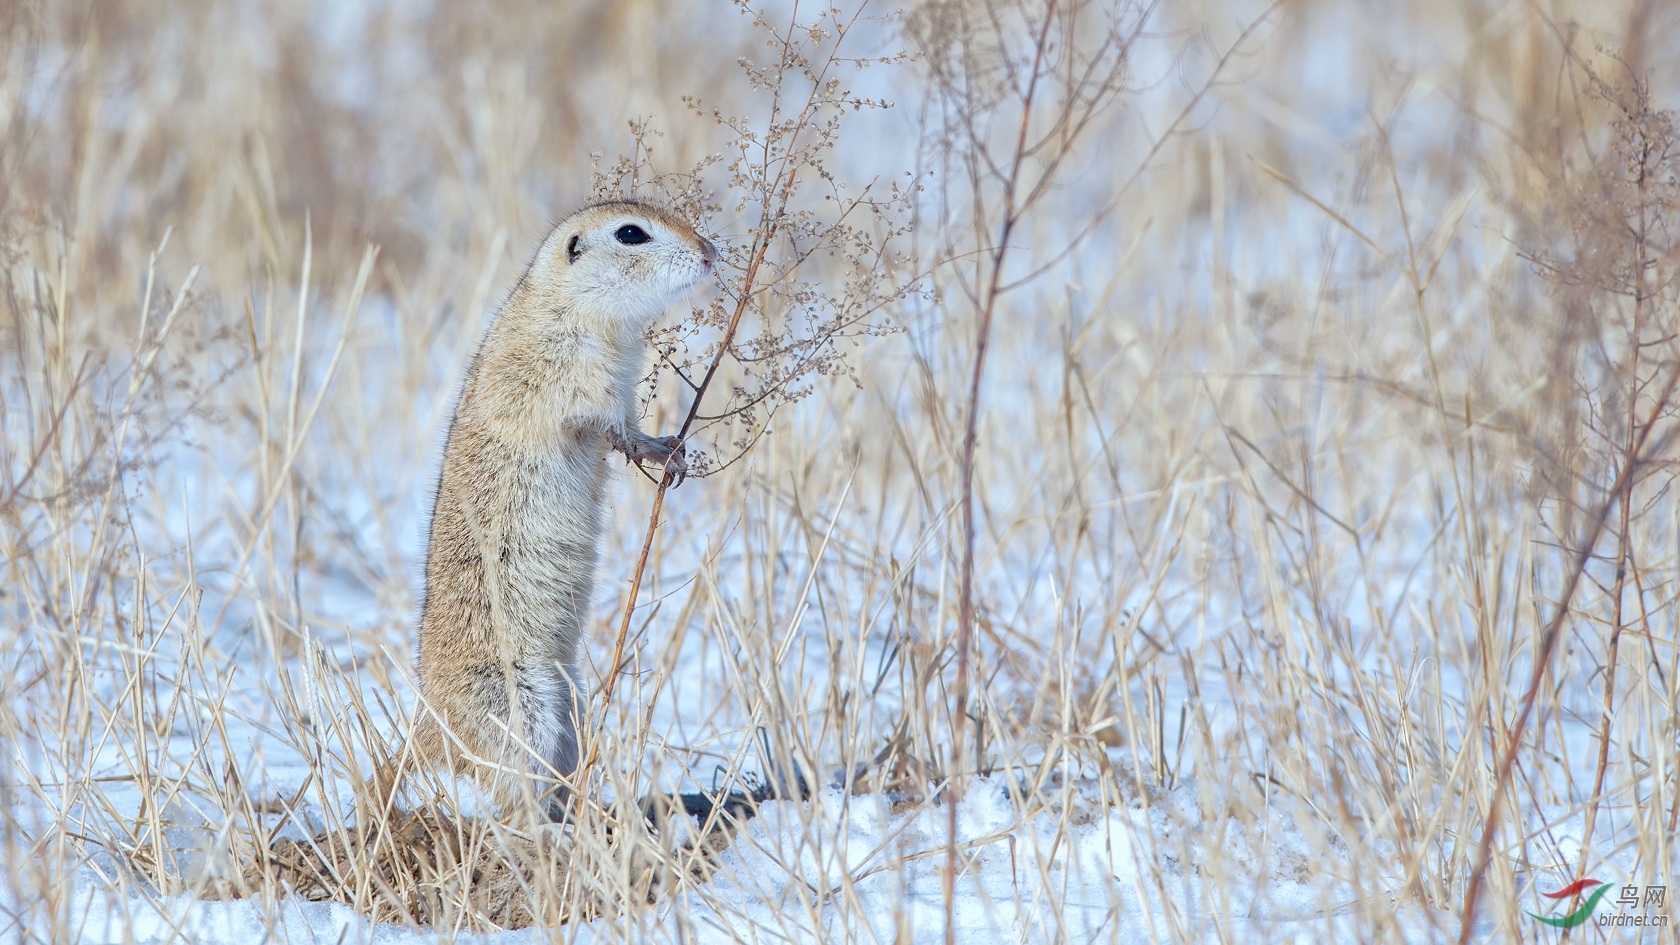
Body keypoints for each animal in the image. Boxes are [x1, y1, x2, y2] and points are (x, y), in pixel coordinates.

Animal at [384, 198, 712, 817]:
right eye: (631, 233)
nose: (710, 254)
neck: (569, 303)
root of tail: (426, 731)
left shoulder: (619, 386)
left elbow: (625, 427)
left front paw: (673, 452)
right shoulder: (574, 381)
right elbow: (606, 428)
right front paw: (661, 453)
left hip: (572, 709)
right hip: (522, 708)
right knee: (512, 793)